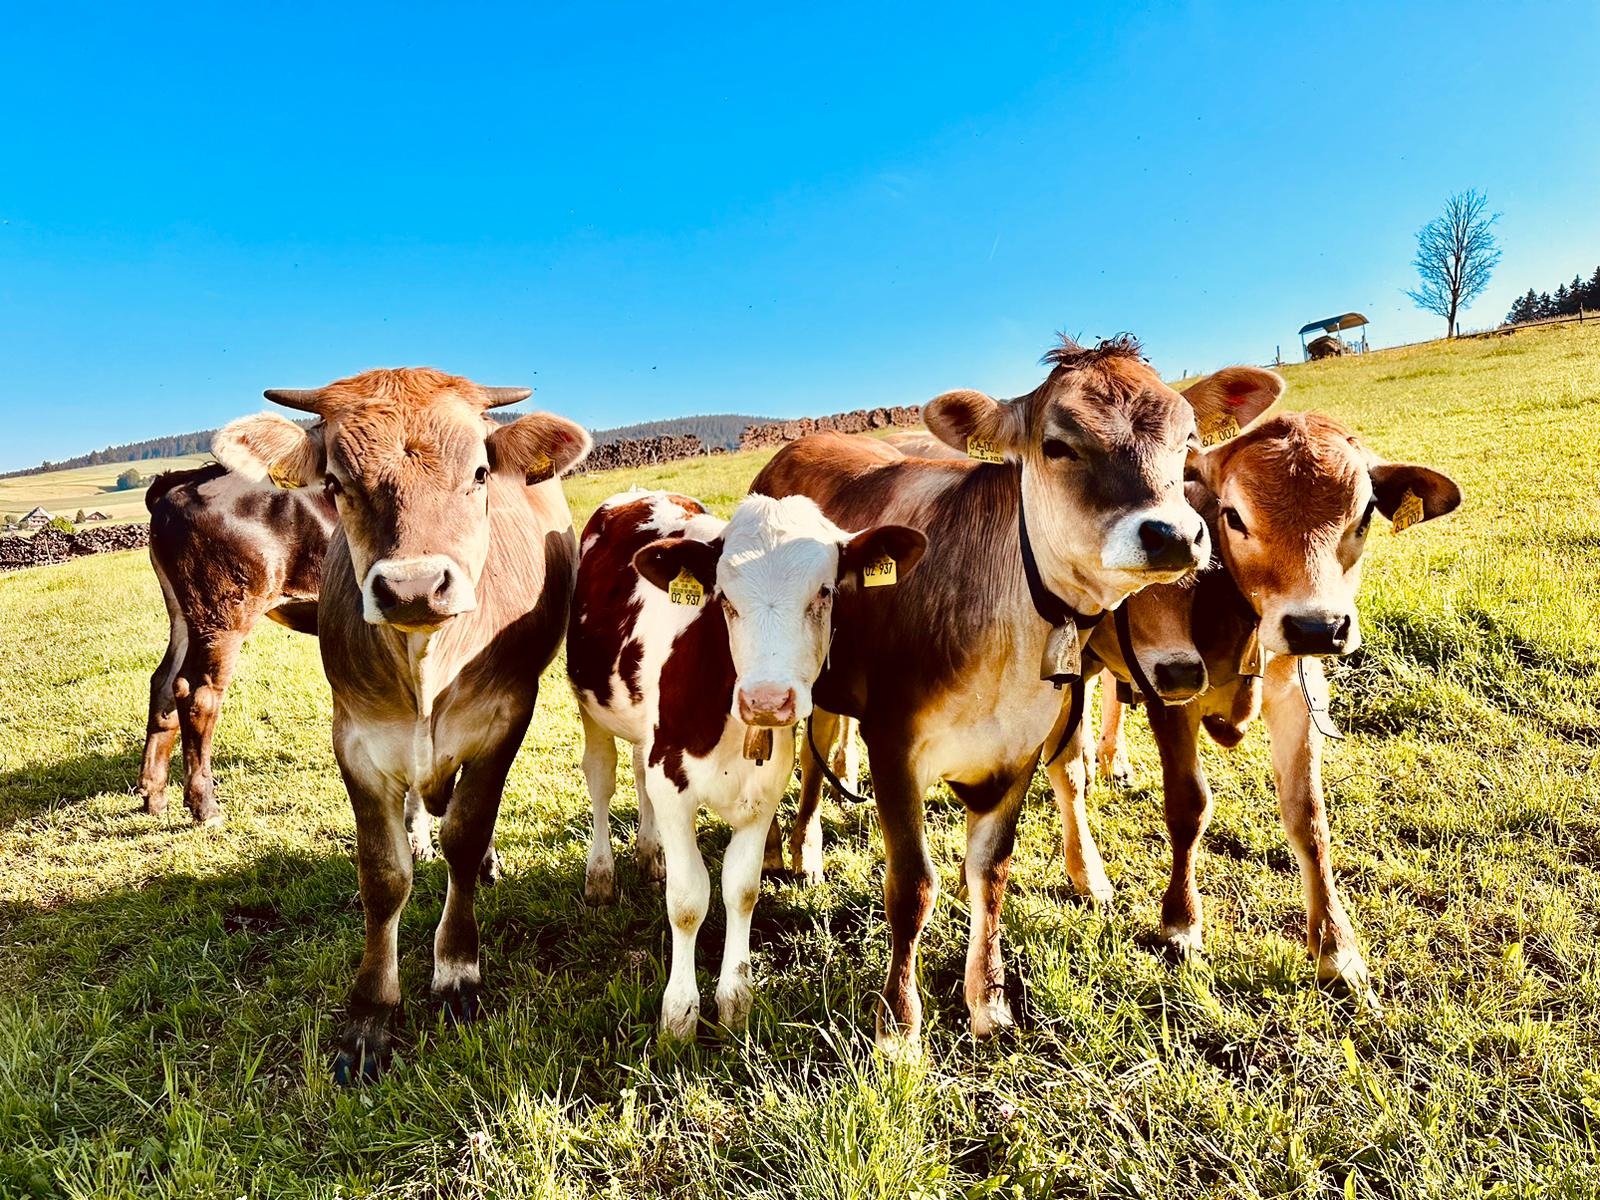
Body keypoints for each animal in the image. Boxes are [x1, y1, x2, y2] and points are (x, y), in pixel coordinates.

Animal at [137, 463, 336, 827]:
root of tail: (188, 479)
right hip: (224, 615)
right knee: (198, 694)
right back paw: (205, 806)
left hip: (186, 616)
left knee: (163, 683)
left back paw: (154, 796)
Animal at [212, 367, 590, 1083]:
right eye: (336, 484)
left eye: (479, 473)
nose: (413, 586)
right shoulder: (357, 741)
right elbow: (383, 877)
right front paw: (370, 1015)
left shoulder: (505, 722)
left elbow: (467, 836)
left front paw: (456, 970)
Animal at [569, 489, 924, 1038]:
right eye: (724, 599)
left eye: (825, 592)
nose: (767, 700)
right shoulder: (672, 781)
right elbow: (688, 900)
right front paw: (679, 1013)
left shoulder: (763, 792)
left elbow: (741, 890)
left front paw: (734, 999)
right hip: (591, 708)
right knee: (603, 780)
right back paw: (601, 874)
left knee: (636, 775)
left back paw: (649, 856)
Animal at [748, 334, 1247, 1044]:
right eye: (1059, 445)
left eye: (1188, 440)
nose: (1173, 534)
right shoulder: (893, 743)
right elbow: (912, 886)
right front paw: (899, 1025)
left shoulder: (1019, 752)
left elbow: (991, 869)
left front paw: (987, 998)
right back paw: (779, 849)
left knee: (817, 751)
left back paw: (803, 847)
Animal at [1051, 405, 1461, 995]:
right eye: (1235, 517)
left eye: (1363, 515)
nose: (1318, 626)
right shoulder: (1172, 699)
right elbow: (1188, 807)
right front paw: (1181, 924)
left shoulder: (1299, 699)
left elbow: (1309, 820)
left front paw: (1337, 949)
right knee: (1065, 772)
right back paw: (1088, 869)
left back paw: (1111, 758)